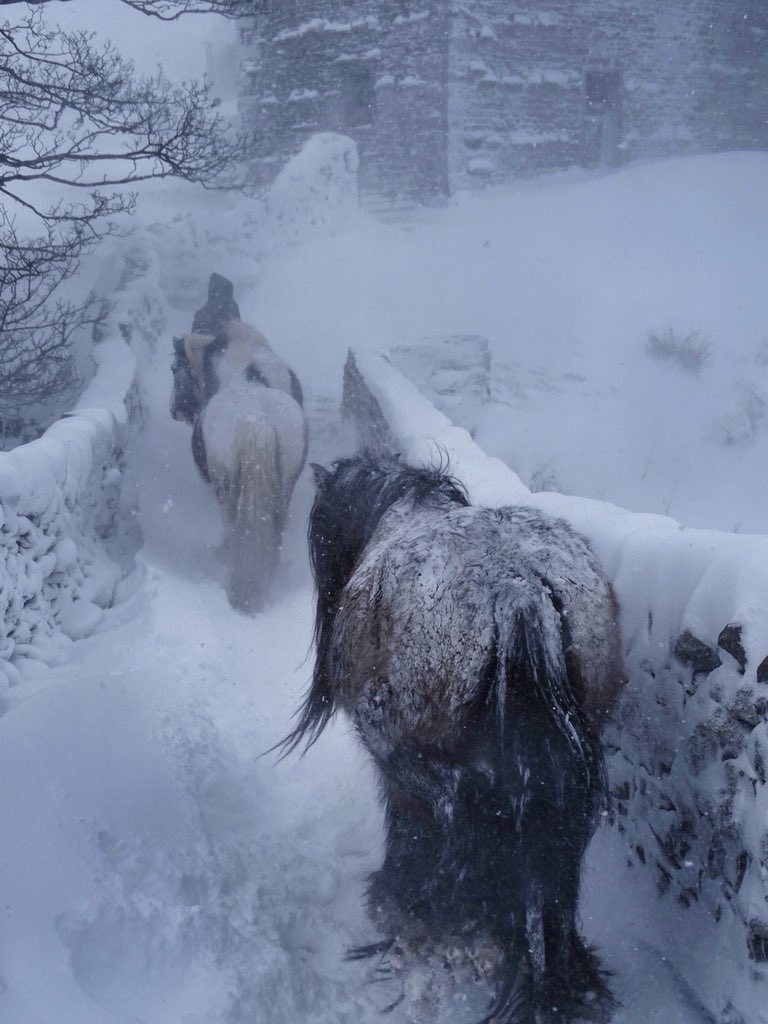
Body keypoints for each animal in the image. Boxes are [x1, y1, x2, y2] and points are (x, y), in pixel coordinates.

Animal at [170, 319, 307, 613]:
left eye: (174, 368)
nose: (174, 409)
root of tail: (258, 422)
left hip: (226, 489)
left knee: (233, 528)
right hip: (284, 489)